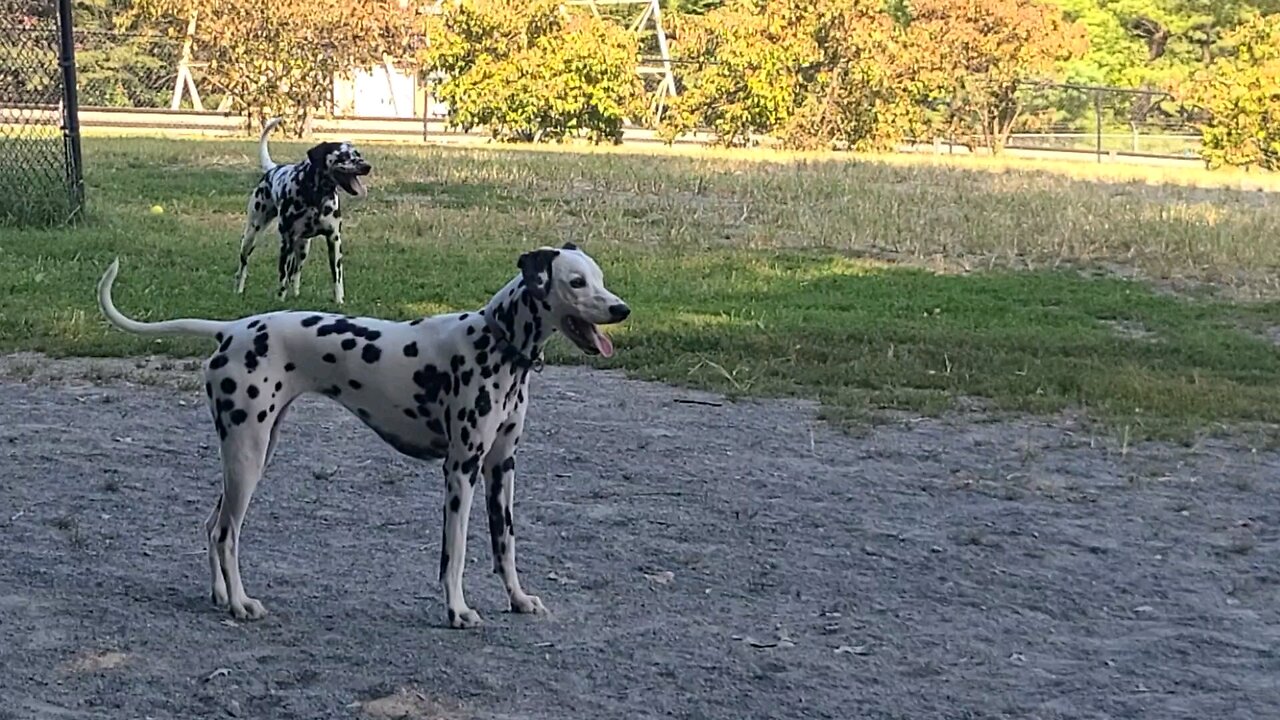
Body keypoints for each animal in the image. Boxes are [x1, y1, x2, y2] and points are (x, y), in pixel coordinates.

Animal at [97, 243, 627, 625]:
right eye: (576, 282)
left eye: (599, 277)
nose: (621, 309)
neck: (495, 344)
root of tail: (232, 329)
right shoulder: (461, 471)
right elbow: (454, 553)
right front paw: (457, 610)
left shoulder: (502, 469)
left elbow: (506, 545)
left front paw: (517, 599)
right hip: (246, 454)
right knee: (227, 533)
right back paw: (240, 604)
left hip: (251, 452)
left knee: (213, 525)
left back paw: (221, 594)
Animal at [234, 117, 371, 304]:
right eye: (343, 156)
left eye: (358, 155)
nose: (367, 167)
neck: (316, 197)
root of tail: (273, 169)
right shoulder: (286, 242)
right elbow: (282, 277)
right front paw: (280, 300)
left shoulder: (334, 240)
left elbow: (337, 277)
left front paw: (339, 301)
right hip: (251, 236)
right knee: (244, 266)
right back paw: (239, 289)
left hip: (303, 247)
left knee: (296, 273)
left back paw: (297, 294)